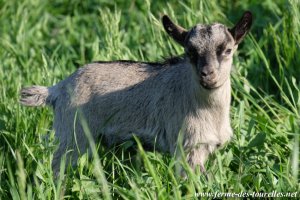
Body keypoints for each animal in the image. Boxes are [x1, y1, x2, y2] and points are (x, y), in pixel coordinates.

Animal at [19, 11, 252, 173]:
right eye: (190, 52)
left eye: (227, 50)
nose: (207, 74)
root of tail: (57, 89)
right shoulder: (187, 149)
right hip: (73, 136)